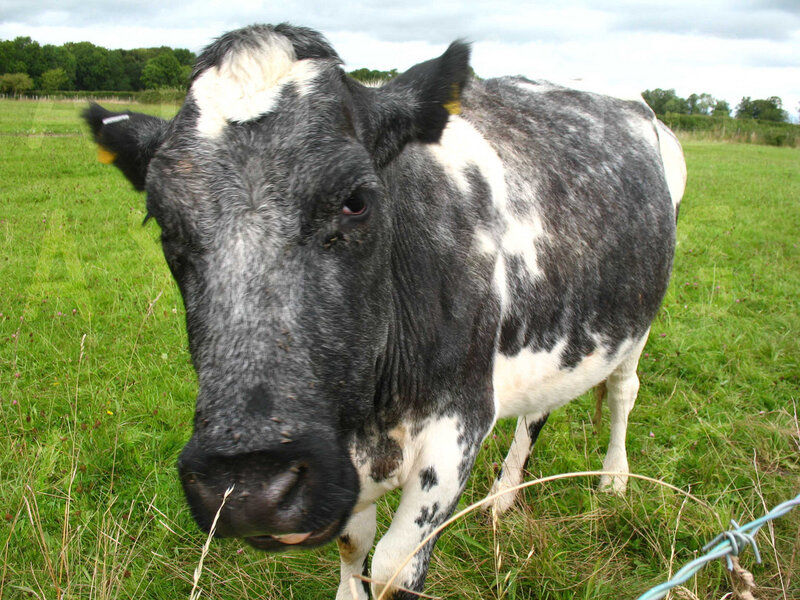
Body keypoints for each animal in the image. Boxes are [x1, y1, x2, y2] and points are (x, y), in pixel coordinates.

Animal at [84, 23, 686, 600]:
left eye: (357, 200)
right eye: (163, 221)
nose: (249, 488)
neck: (371, 413)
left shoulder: (458, 424)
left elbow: (394, 567)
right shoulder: (340, 463)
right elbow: (353, 546)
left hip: (637, 319)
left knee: (624, 392)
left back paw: (614, 479)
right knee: (538, 409)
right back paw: (504, 494)